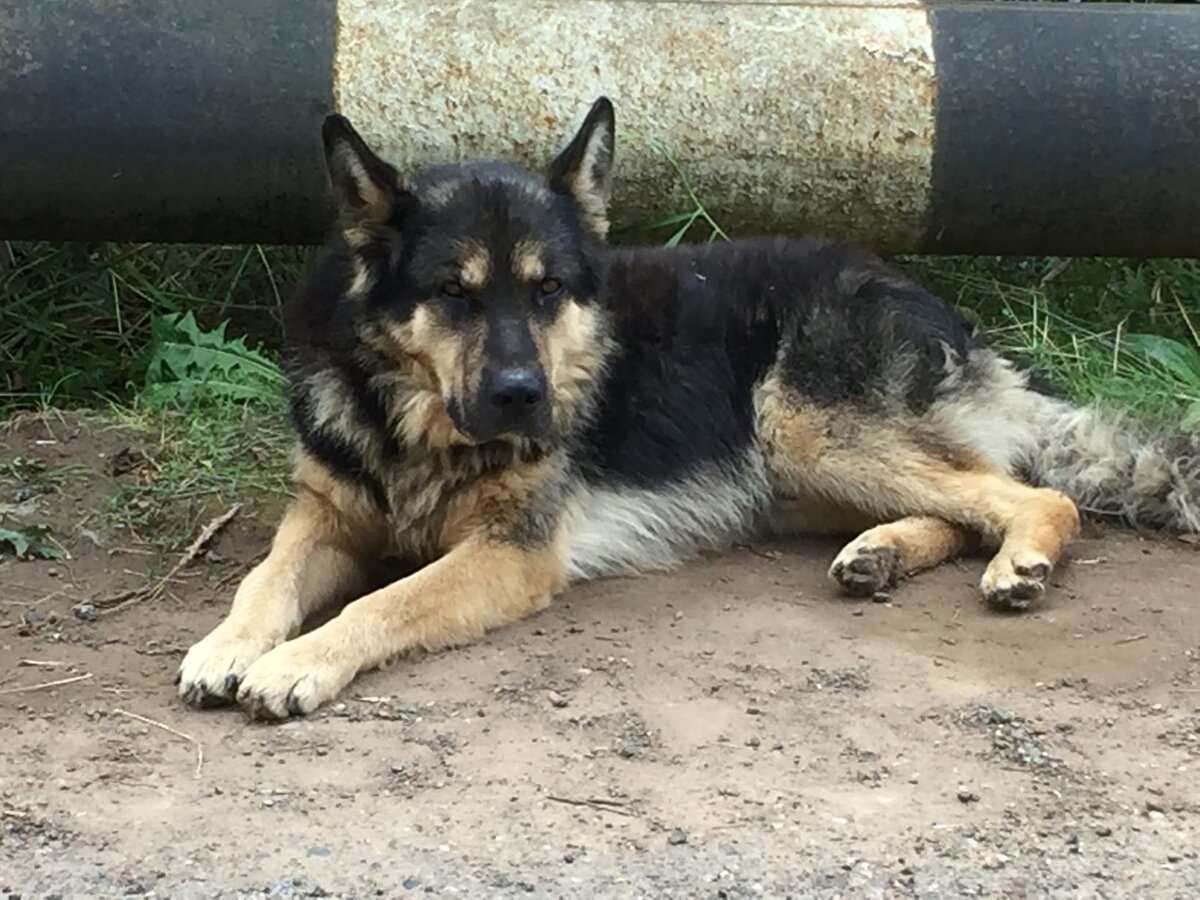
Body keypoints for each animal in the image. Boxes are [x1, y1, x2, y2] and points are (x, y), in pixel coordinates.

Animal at [177, 97, 1200, 720]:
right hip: (799, 473)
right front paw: (228, 643)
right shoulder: (326, 516)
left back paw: (1019, 561)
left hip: (804, 432)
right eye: (454, 294)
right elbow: (262, 581)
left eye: (548, 291)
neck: (409, 416)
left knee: (1032, 495)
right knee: (967, 497)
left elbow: (385, 600)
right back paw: (880, 553)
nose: (524, 400)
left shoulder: (509, 557)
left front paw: (296, 662)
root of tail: (935, 303)